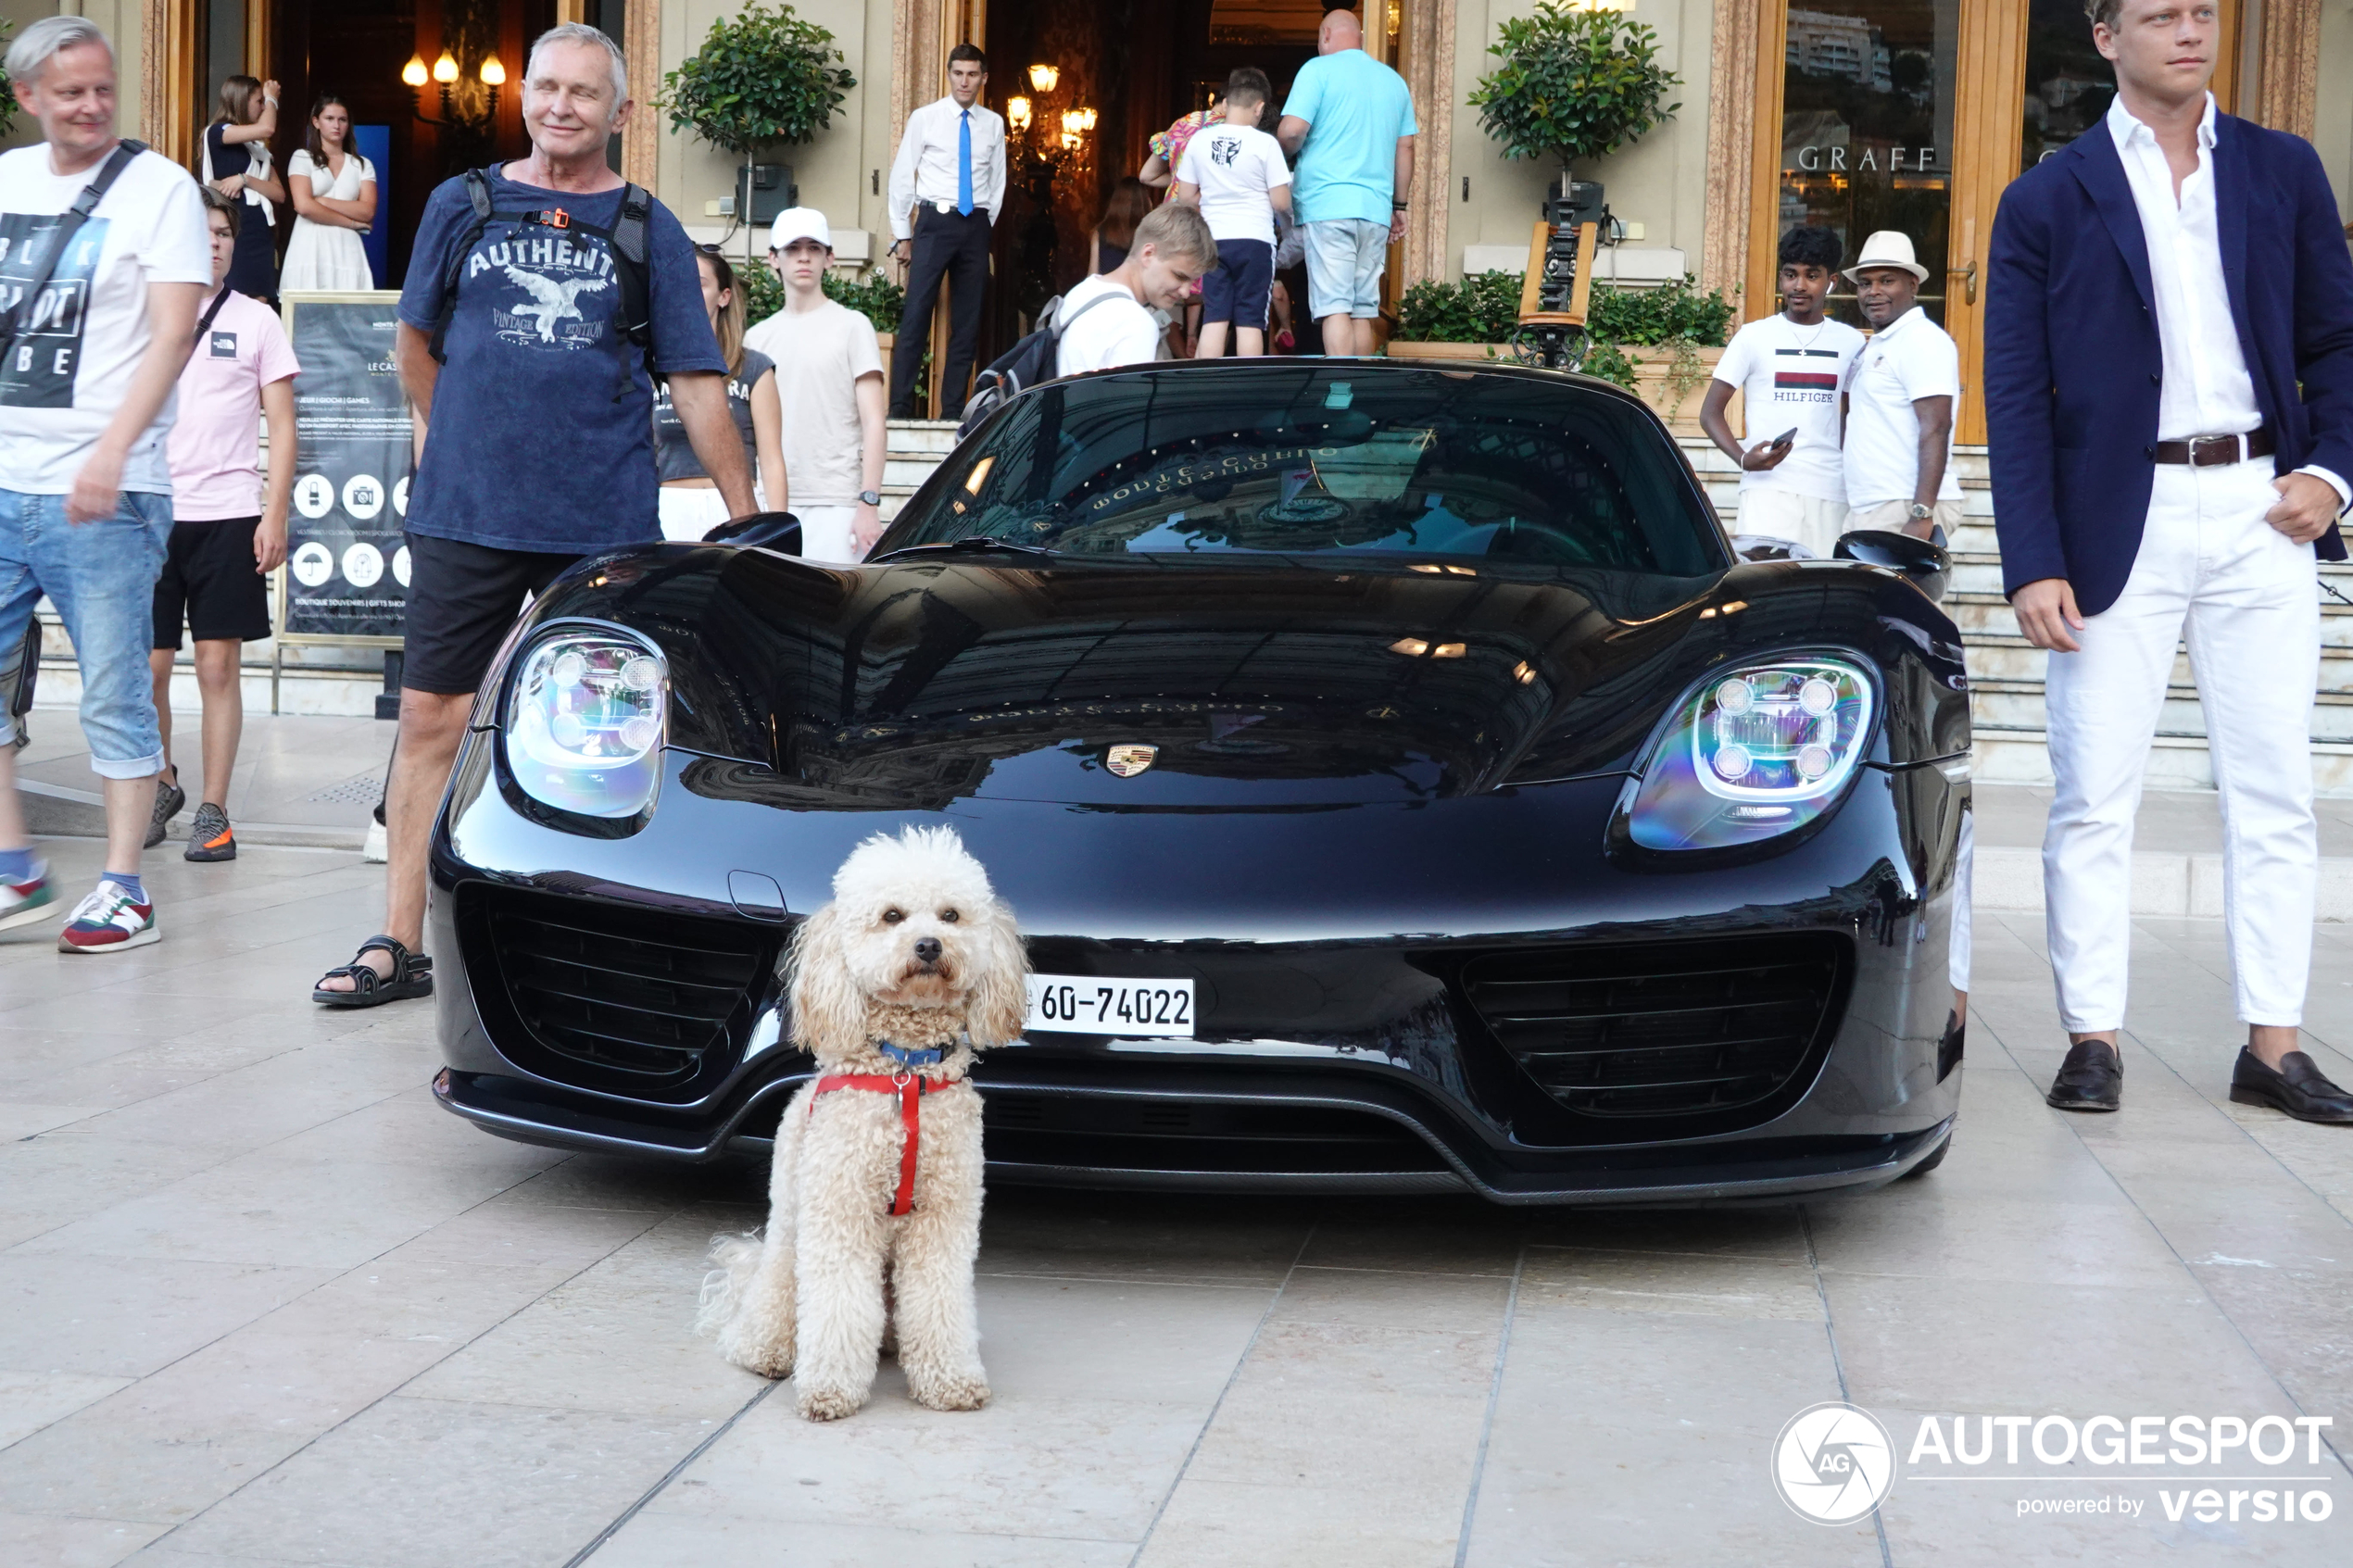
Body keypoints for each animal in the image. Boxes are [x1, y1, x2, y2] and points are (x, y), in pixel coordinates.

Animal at [696, 827, 1030, 1429]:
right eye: (892, 916)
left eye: (950, 915)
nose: (929, 946)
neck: (905, 1073)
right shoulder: (841, 1213)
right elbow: (838, 1305)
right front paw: (830, 1389)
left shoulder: (944, 1218)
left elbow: (940, 1299)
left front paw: (950, 1381)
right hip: (788, 1244)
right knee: (774, 1306)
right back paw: (766, 1350)